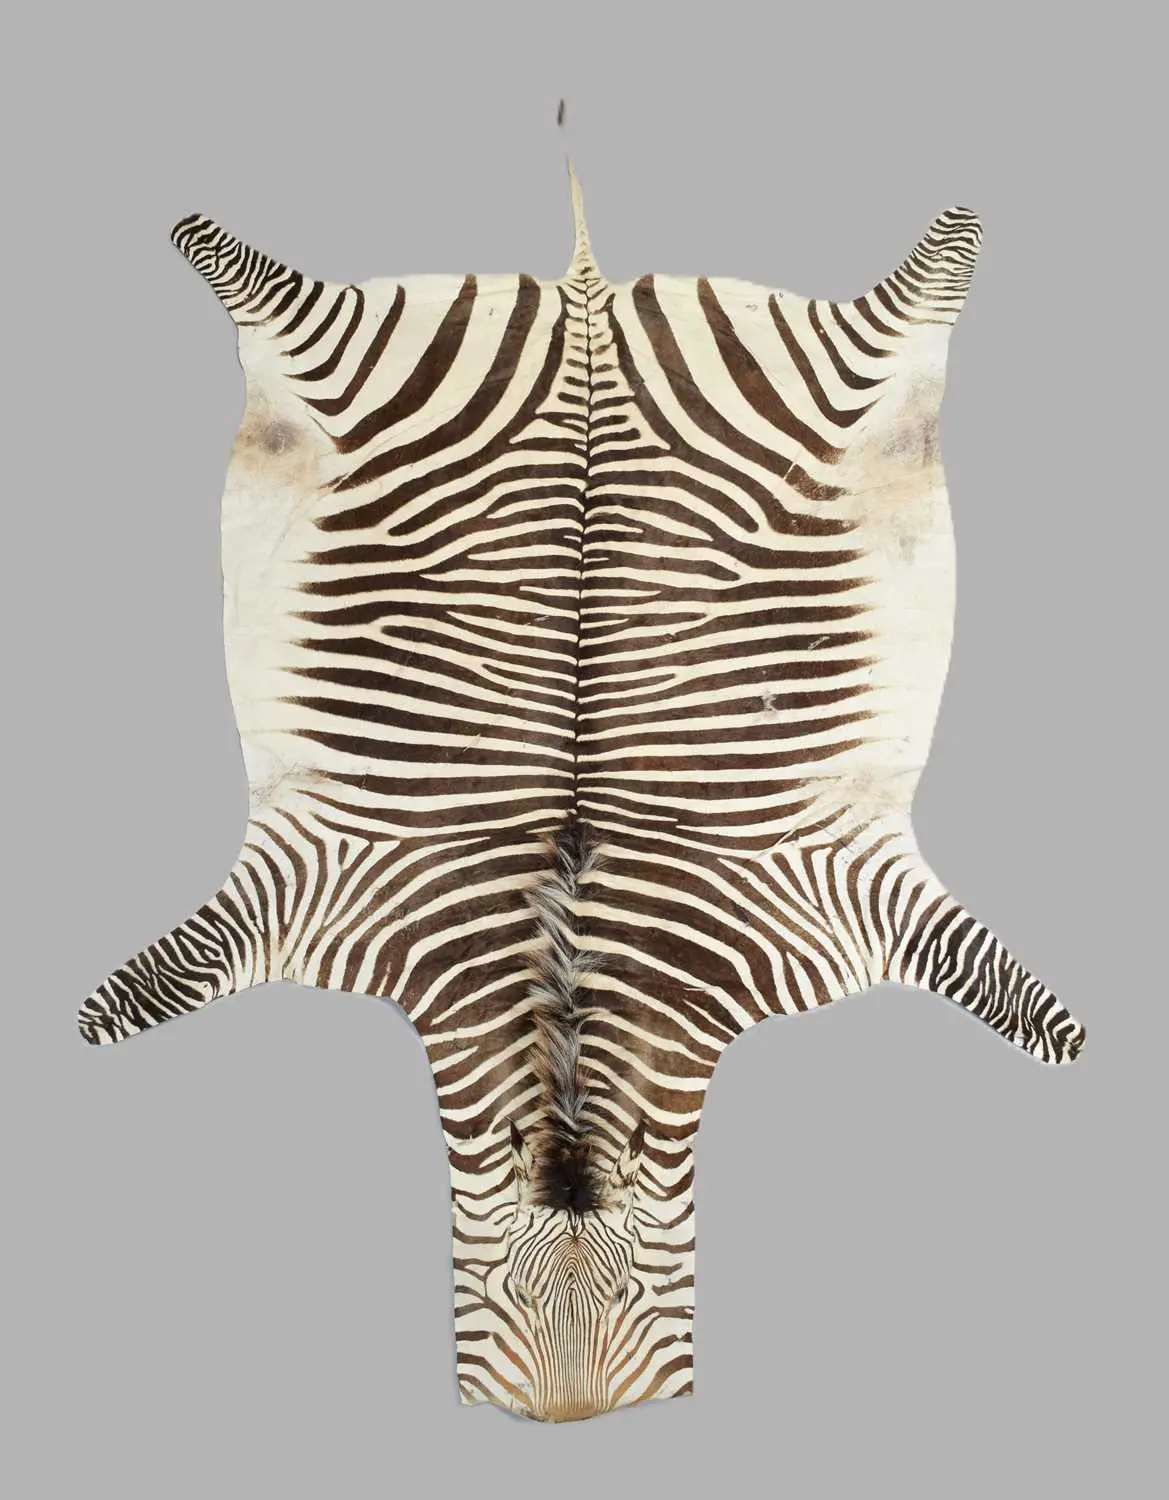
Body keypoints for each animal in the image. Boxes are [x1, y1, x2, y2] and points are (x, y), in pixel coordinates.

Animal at [79, 157, 1084, 1423]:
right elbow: (162, 980)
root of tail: (585, 293)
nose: (571, 1417)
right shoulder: (307, 884)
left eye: (644, 1293)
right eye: (492, 1294)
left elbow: (1001, 990)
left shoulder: (849, 891)